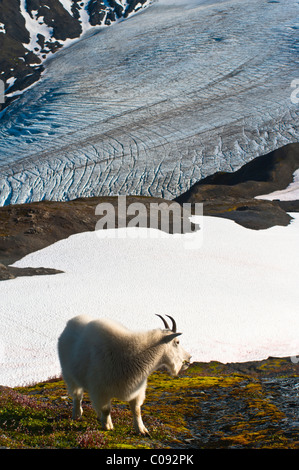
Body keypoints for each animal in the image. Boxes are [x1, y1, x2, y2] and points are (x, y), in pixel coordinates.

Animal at [57, 314, 191, 436]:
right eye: (177, 342)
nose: (189, 358)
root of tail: (69, 324)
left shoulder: (136, 389)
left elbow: (136, 410)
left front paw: (142, 430)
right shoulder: (100, 390)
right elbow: (106, 409)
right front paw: (108, 426)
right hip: (69, 375)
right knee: (77, 395)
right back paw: (77, 414)